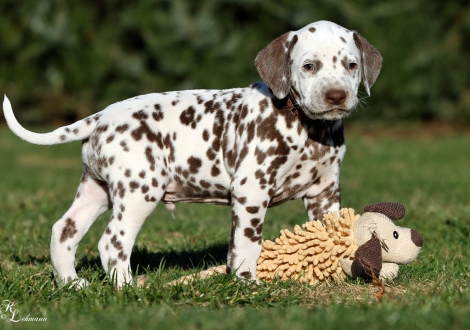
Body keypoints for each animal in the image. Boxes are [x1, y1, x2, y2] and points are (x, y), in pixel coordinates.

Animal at [1, 21, 382, 288]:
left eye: (351, 65)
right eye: (309, 66)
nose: (336, 96)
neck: (305, 125)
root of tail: (101, 116)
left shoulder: (324, 193)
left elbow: (329, 235)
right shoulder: (251, 191)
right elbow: (247, 245)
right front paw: (248, 284)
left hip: (96, 191)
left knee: (63, 231)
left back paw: (71, 283)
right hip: (138, 193)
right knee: (112, 243)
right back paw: (127, 289)